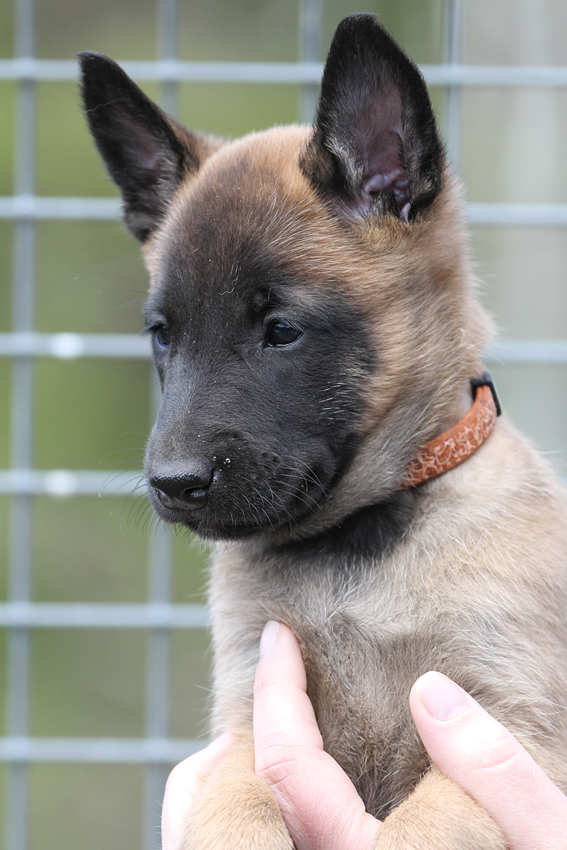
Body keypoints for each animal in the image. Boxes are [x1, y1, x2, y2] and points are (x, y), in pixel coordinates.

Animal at [80, 14, 567, 848]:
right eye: (162, 336)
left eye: (281, 331)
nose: (173, 484)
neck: (355, 554)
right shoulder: (244, 725)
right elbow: (229, 809)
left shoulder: (517, 730)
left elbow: (421, 829)